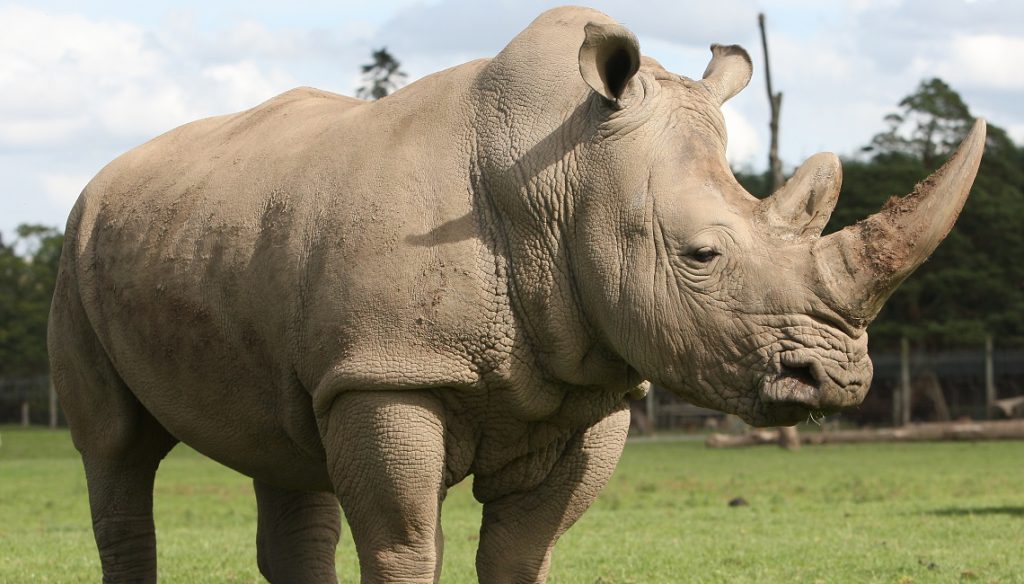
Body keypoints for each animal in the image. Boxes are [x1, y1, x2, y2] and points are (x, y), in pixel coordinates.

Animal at [49, 6, 985, 583]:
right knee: (117, 451)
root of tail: (103, 176)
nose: (840, 381)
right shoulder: (388, 369)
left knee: (283, 446)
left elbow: (521, 553)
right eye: (702, 254)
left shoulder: (590, 382)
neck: (565, 177)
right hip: (78, 242)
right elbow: (406, 544)